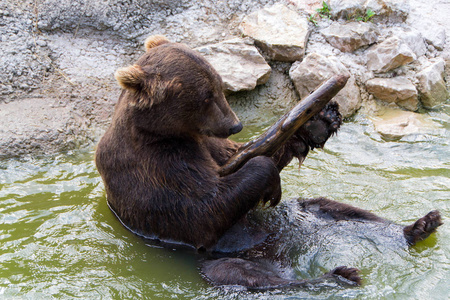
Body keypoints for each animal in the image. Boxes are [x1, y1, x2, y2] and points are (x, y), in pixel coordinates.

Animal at [95, 35, 442, 290]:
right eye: (206, 96)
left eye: (220, 85)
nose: (235, 125)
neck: (163, 132)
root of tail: (284, 248)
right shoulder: (157, 164)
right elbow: (203, 209)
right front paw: (269, 179)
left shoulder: (209, 144)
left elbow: (246, 153)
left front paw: (320, 119)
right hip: (220, 259)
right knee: (251, 277)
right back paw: (335, 276)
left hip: (308, 214)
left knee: (344, 211)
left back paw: (418, 226)